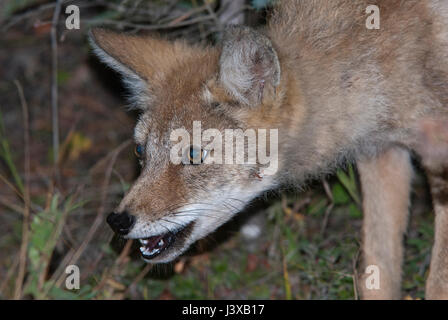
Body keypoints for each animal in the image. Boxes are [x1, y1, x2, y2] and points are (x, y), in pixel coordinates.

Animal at [90, 0, 448, 300]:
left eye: (193, 155)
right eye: (140, 151)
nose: (118, 221)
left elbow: (436, 283)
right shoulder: (382, 154)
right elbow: (379, 274)